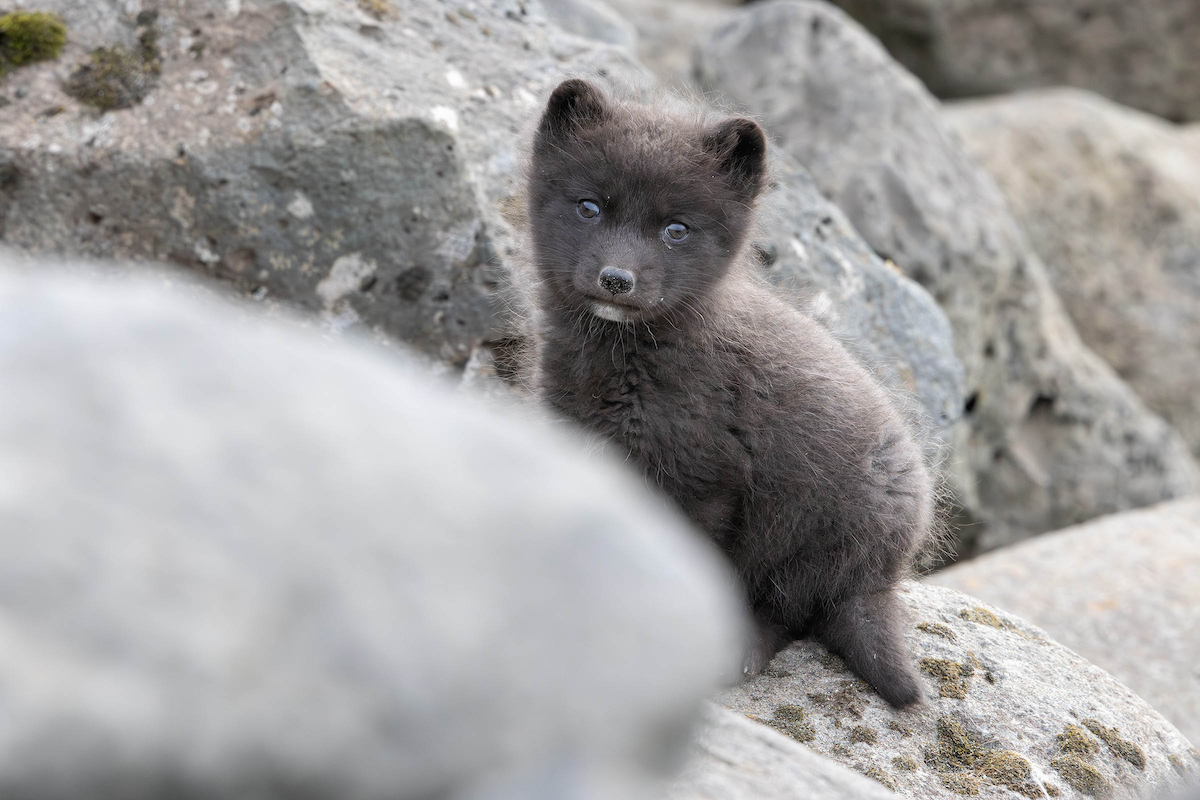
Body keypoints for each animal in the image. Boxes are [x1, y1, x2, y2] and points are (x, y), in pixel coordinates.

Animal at [523, 78, 935, 708]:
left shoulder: (705, 480)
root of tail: (880, 577)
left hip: (812, 536)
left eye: (676, 229)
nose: (617, 279)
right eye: (589, 206)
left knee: (788, 614)